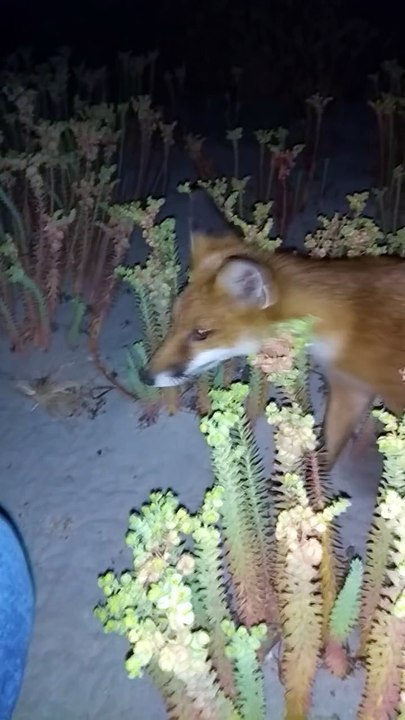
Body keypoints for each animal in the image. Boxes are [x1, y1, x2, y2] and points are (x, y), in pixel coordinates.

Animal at [143, 230, 405, 465]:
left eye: (201, 333)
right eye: (174, 323)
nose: (145, 377)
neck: (352, 323)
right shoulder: (350, 389)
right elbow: (325, 457)